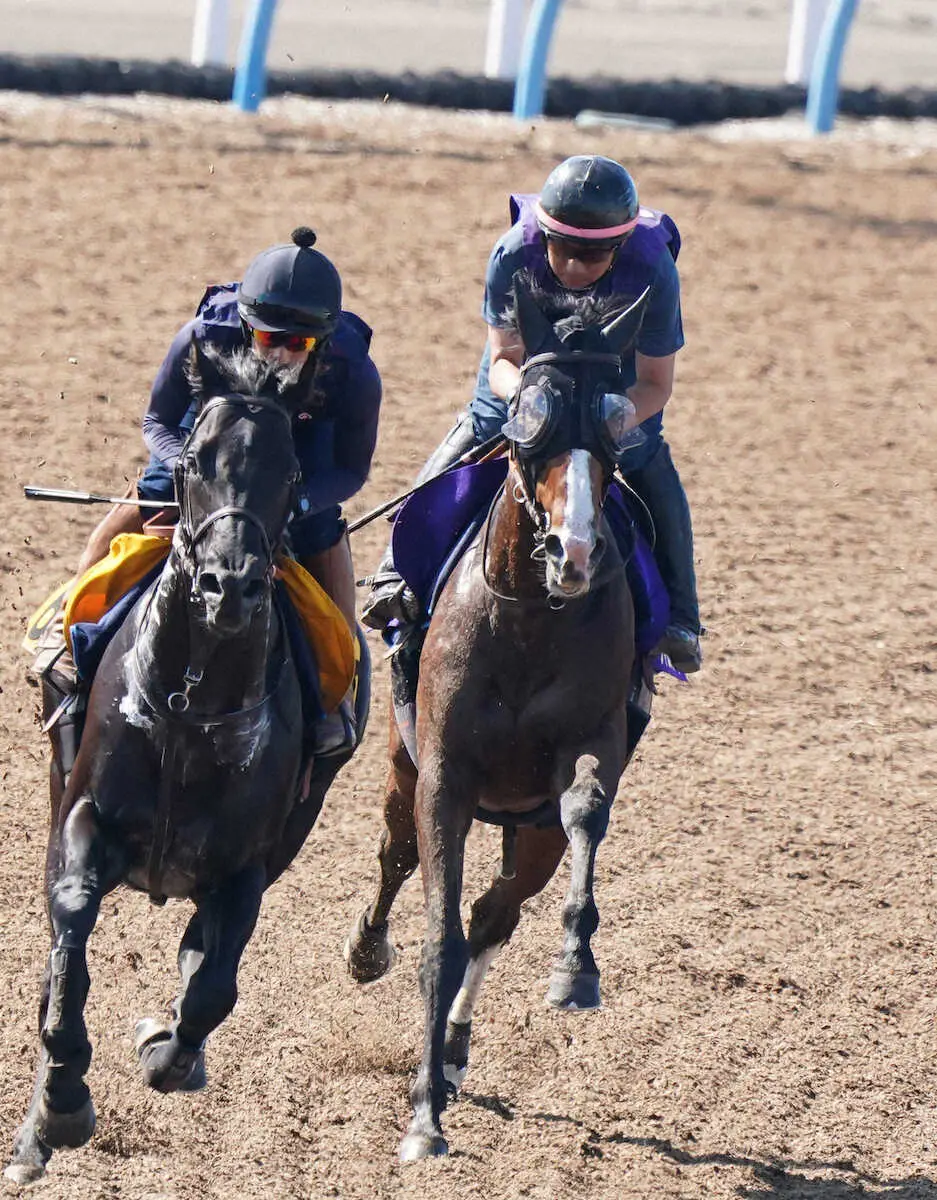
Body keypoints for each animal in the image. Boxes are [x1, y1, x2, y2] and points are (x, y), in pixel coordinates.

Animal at [10, 343, 371, 1185]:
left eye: (290, 471)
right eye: (194, 461)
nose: (227, 585)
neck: (190, 703)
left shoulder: (245, 866)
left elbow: (210, 989)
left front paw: (162, 1049)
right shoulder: (81, 818)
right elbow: (70, 938)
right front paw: (62, 1101)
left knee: (198, 961)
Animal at [347, 280, 652, 1161]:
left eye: (615, 422)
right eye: (530, 417)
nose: (576, 553)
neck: (524, 621)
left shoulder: (586, 749)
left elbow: (585, 809)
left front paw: (576, 968)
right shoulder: (443, 777)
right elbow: (438, 935)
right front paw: (421, 1117)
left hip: (529, 829)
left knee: (495, 912)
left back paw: (453, 1050)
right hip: (401, 770)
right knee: (398, 858)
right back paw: (368, 951)